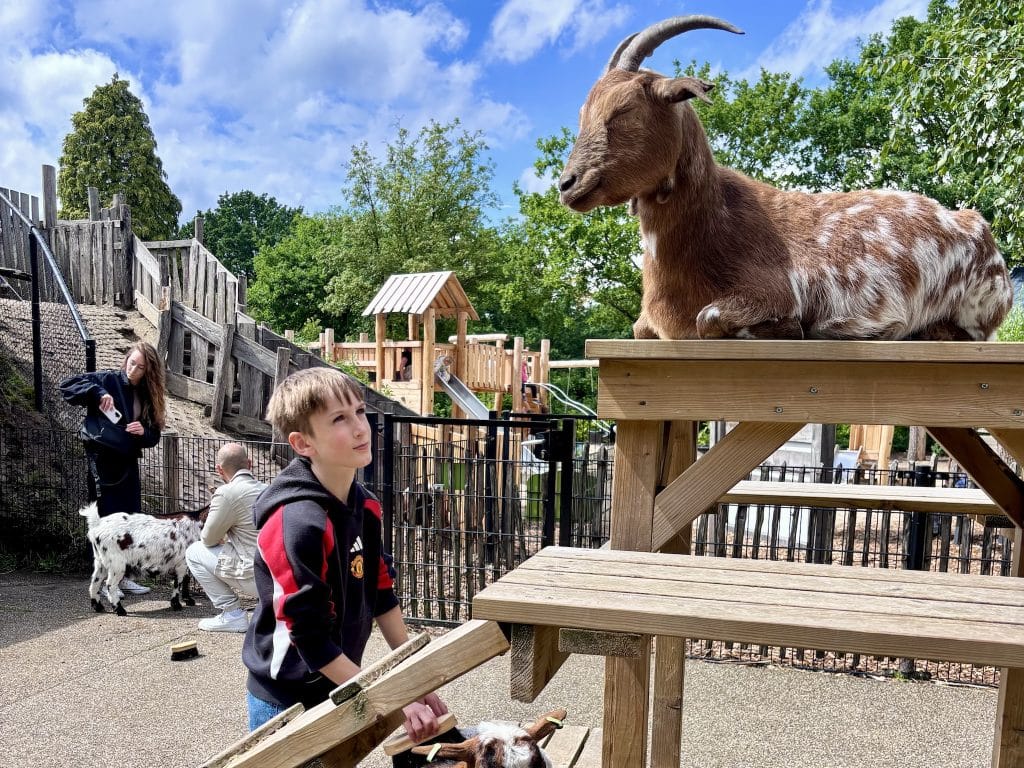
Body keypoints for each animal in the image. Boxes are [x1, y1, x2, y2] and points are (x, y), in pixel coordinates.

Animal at [558, 15, 1014, 341]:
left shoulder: (773, 292)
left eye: (624, 110)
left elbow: (710, 318)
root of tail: (977, 224)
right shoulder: (647, 326)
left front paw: (791, 329)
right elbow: (641, 328)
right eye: (582, 113)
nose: (568, 184)